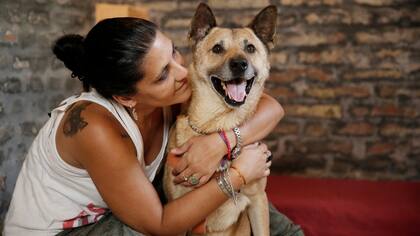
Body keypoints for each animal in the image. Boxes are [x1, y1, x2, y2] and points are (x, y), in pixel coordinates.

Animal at [164, 3, 278, 236]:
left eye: (250, 48)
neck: (217, 124)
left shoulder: (258, 200)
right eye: (217, 49)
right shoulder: (177, 215)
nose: (240, 64)